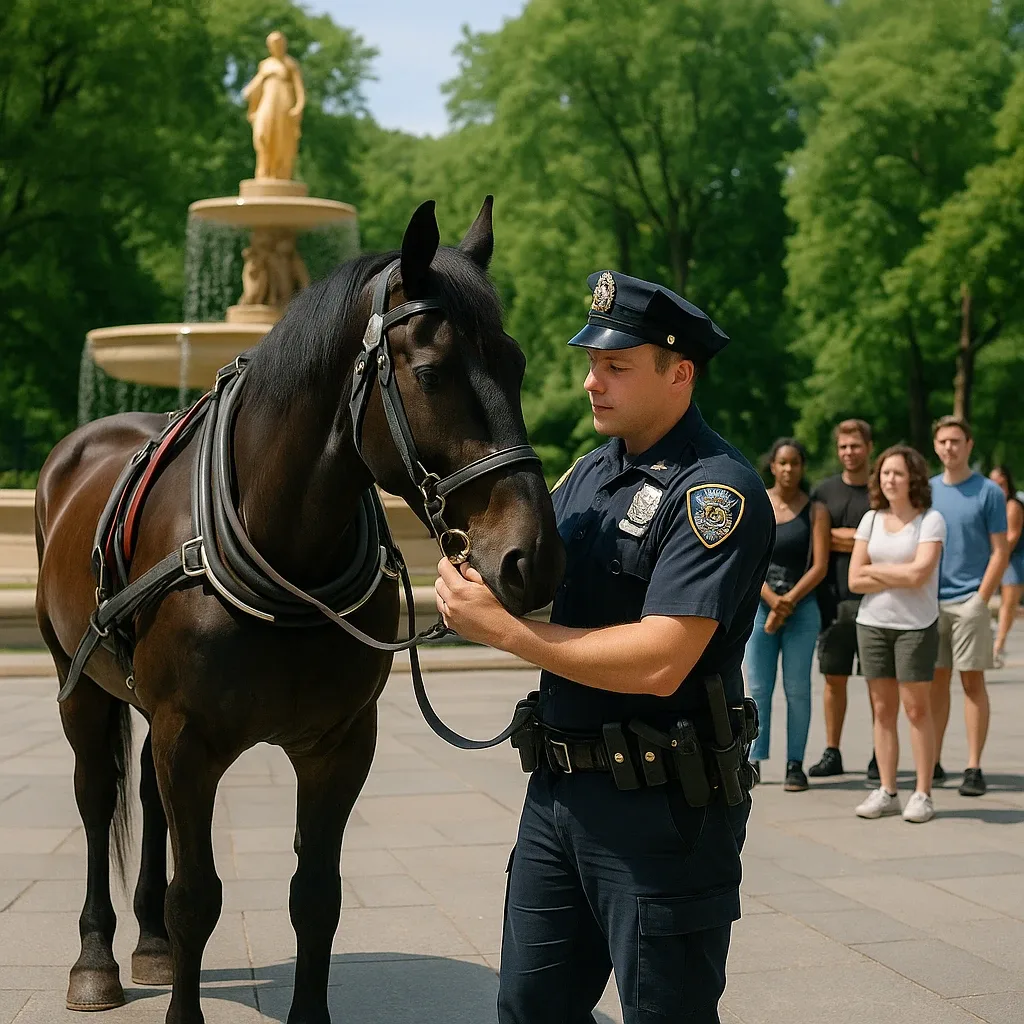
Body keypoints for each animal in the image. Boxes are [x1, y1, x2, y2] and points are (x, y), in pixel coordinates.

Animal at [33, 197, 564, 1024]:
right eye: (432, 373)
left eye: (515, 366)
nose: (530, 553)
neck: (287, 551)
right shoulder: (190, 740)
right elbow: (198, 897)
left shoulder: (337, 744)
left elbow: (316, 896)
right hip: (80, 684)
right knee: (96, 798)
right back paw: (96, 958)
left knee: (146, 797)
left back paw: (149, 943)